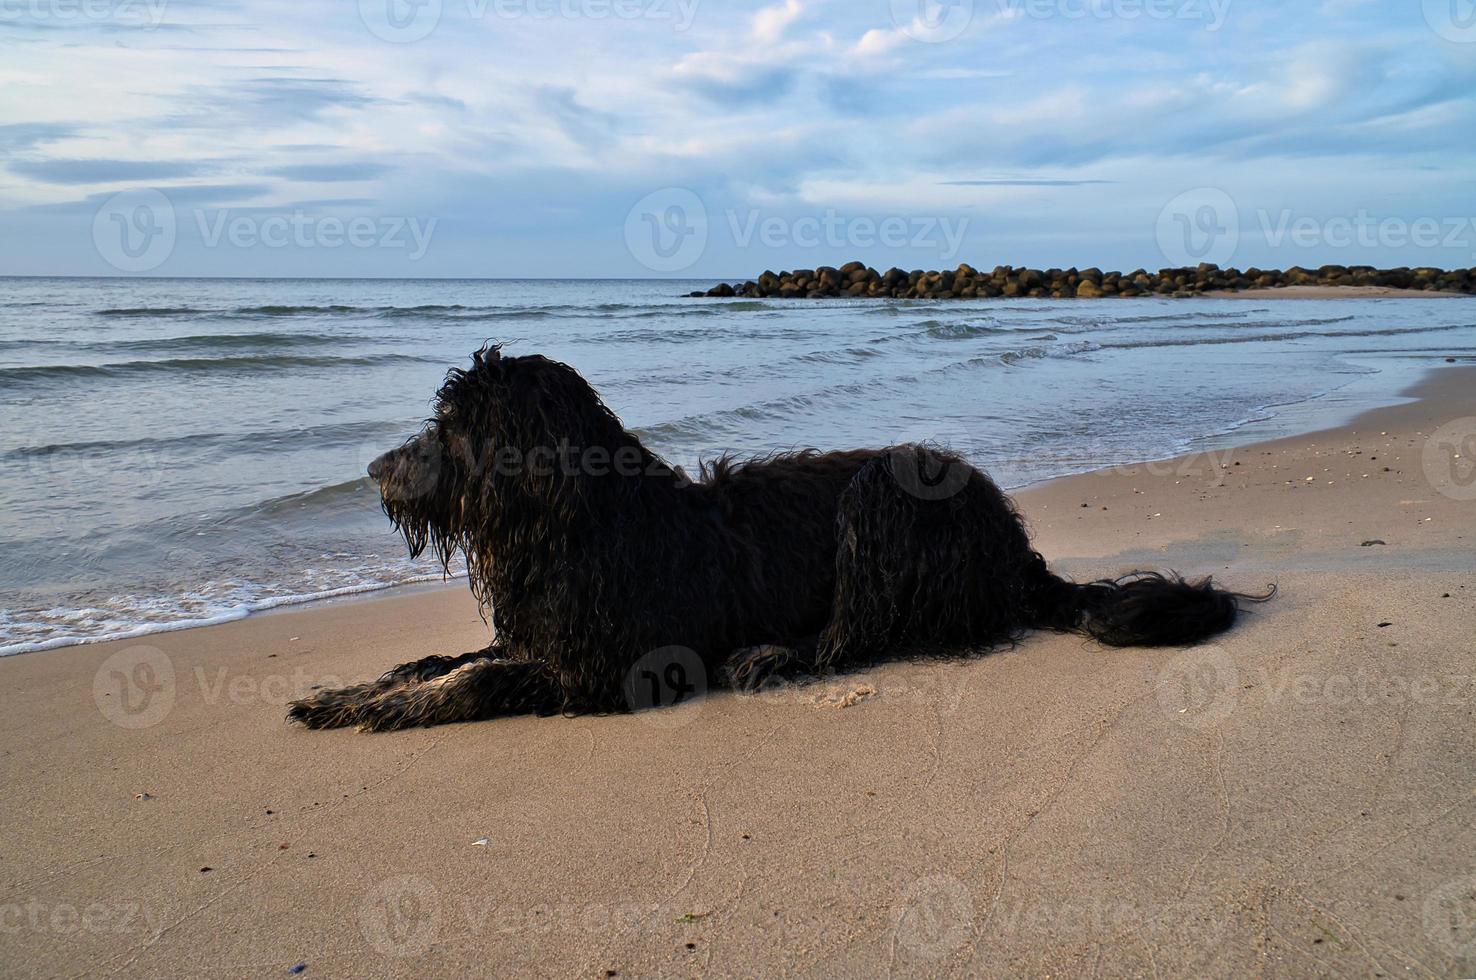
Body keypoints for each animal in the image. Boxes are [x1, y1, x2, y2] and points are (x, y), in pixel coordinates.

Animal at [290, 348, 1269, 732]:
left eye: (454, 427)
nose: (374, 469)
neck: (579, 519)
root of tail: (1015, 547)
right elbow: (446, 662)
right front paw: (355, 689)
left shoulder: (609, 667)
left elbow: (476, 680)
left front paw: (379, 709)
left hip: (887, 497)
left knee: (863, 636)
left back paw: (774, 655)